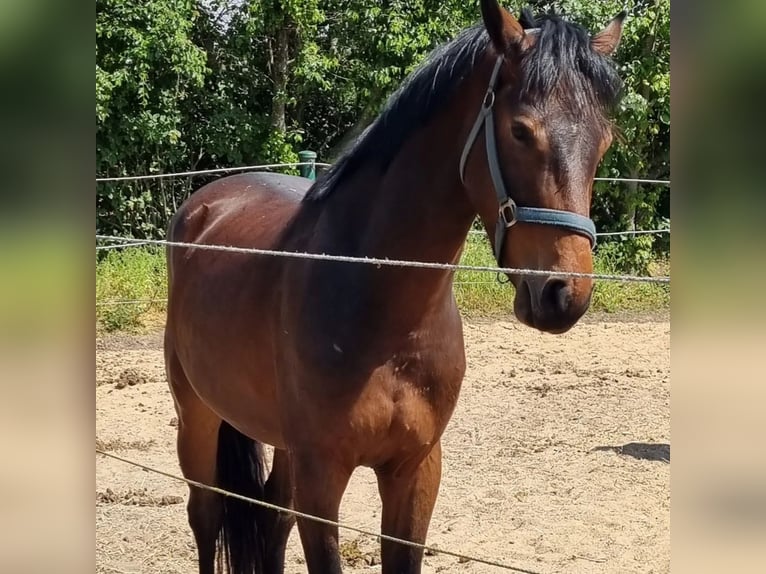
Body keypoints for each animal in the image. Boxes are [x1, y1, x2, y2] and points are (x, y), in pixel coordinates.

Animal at [165, 2, 628, 572]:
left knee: (270, 521)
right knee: (206, 516)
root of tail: (204, 204)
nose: (564, 294)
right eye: (521, 131)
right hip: (198, 416)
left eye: (603, 143)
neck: (383, 314)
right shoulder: (322, 477)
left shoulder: (416, 470)